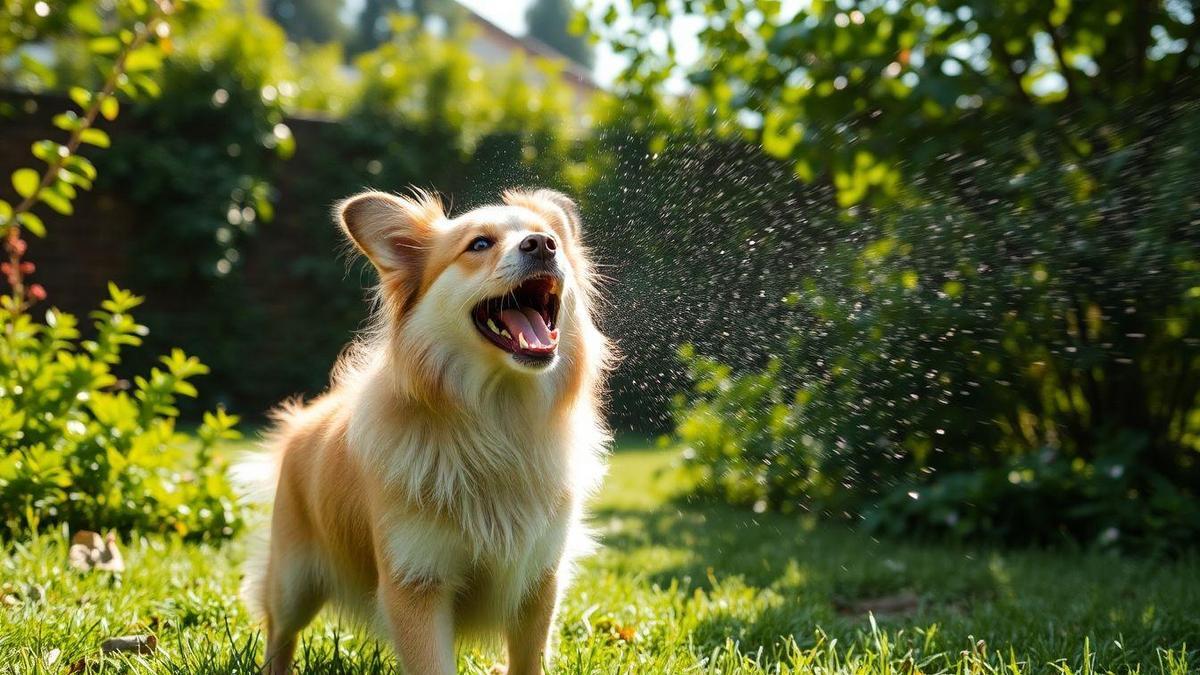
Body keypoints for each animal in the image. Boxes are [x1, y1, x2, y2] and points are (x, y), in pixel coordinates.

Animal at [236, 189, 609, 672]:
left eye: (553, 241)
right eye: (479, 245)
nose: (542, 245)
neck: (499, 418)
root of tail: (301, 421)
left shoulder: (540, 579)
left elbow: (528, 660)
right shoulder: (415, 583)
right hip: (292, 578)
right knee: (280, 632)